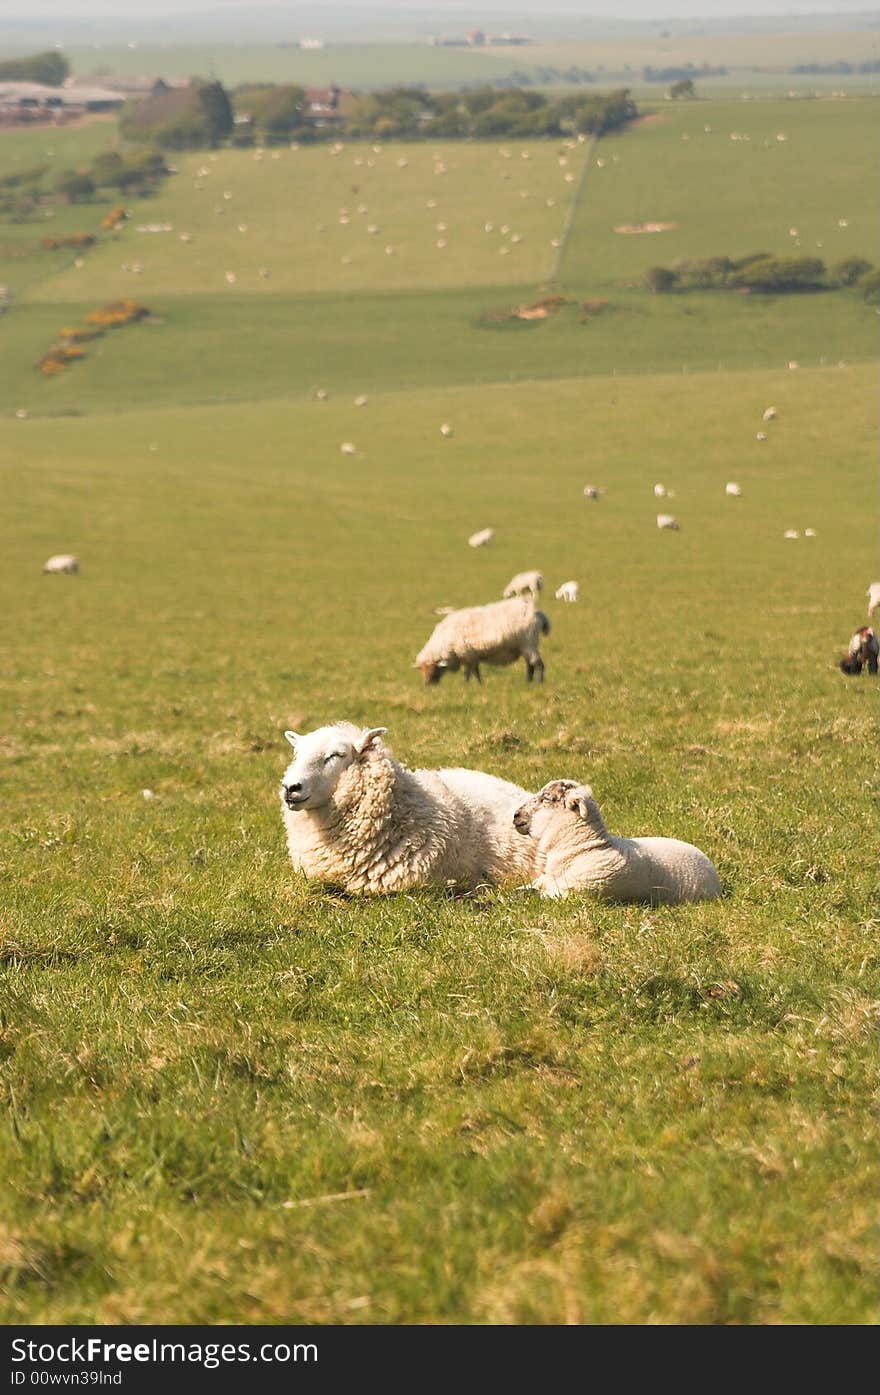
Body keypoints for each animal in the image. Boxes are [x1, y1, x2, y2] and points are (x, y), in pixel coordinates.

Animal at [415, 594, 552, 686]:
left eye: (432, 669)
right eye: (422, 669)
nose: (427, 685)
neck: (444, 642)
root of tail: (537, 612)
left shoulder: (467, 655)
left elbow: (470, 672)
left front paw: (468, 685)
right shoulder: (472, 656)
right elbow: (474, 671)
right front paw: (477, 684)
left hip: (528, 642)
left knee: (538, 664)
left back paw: (538, 683)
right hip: (524, 646)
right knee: (530, 665)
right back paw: (528, 682)